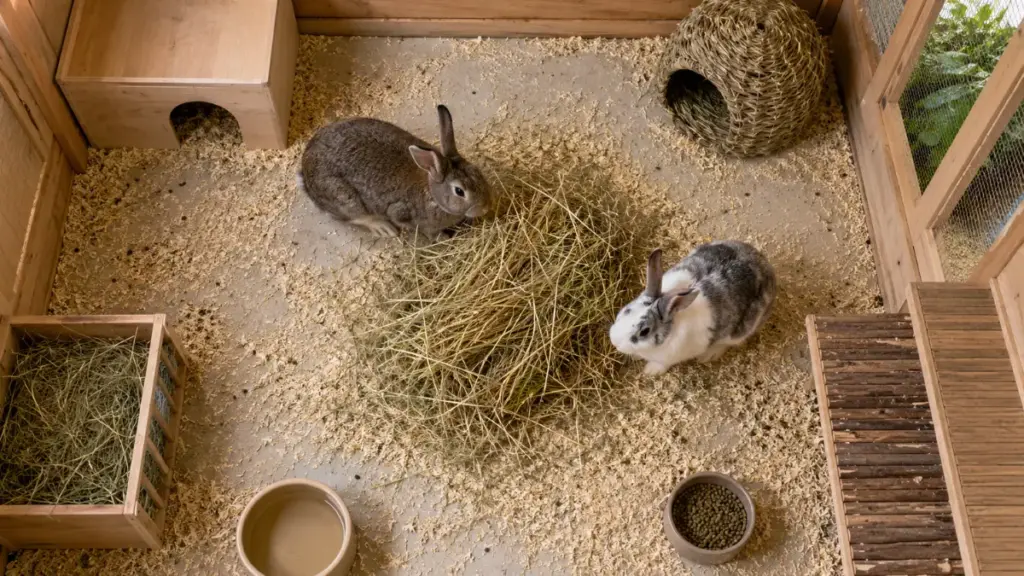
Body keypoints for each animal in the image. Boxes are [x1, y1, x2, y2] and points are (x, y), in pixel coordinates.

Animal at [298, 105, 493, 240]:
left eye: (477, 171)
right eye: (459, 191)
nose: (485, 207)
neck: (432, 194)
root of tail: (305, 173)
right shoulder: (402, 213)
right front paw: (443, 237)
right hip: (344, 198)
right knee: (355, 217)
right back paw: (384, 228)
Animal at [608, 241, 777, 376]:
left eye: (644, 331)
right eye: (625, 310)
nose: (614, 342)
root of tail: (764, 264)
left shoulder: (669, 357)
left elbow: (661, 364)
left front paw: (650, 371)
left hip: (743, 328)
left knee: (730, 342)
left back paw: (709, 355)